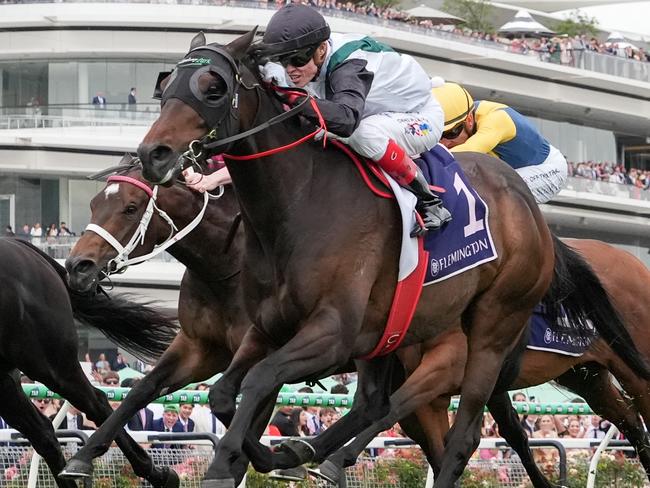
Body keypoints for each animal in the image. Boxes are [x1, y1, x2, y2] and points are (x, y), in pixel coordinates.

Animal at [0, 238, 177, 488]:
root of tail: (22, 247)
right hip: (4, 380)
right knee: (43, 434)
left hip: (51, 363)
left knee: (97, 403)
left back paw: (159, 474)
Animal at [133, 29, 648, 484]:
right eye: (166, 86)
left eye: (213, 87)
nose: (153, 154)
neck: (300, 201)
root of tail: (531, 211)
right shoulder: (269, 328)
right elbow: (225, 394)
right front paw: (276, 451)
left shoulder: (333, 333)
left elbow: (259, 382)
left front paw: (236, 461)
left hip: (496, 331)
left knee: (462, 440)